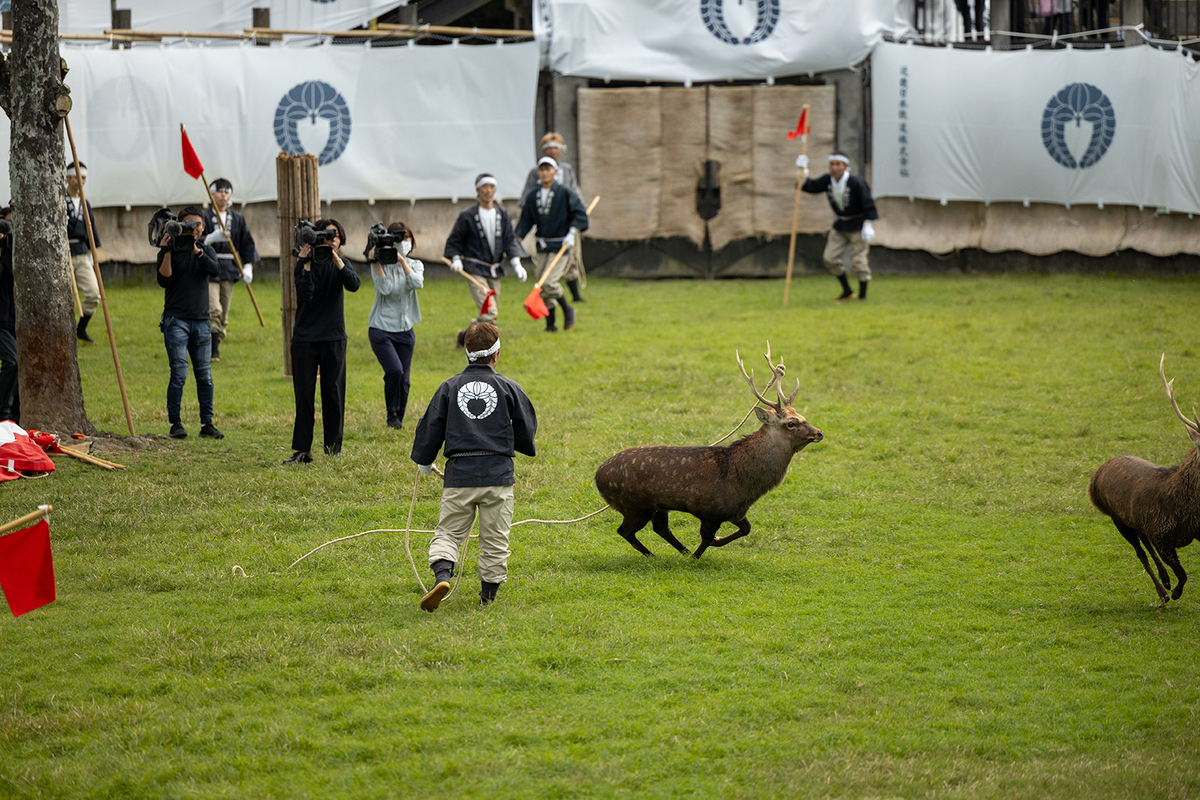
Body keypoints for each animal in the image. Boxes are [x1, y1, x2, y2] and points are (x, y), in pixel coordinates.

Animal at [592, 347, 825, 561]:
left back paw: (680, 551)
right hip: (636, 505)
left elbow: (746, 529)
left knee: (660, 528)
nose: (819, 433)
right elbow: (706, 538)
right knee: (626, 530)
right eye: (791, 423)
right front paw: (698, 554)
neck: (745, 482)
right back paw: (655, 555)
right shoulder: (711, 510)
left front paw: (711, 544)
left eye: (802, 416)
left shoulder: (736, 510)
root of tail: (597, 477)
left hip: (657, 506)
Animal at [1089, 352, 1200, 604]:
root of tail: (1095, 476)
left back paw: (1165, 580)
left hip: (1134, 521)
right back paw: (1163, 592)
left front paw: (1172, 585)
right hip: (1118, 520)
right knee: (1141, 552)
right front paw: (1175, 592)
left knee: (1144, 542)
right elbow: (1183, 574)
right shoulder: (1161, 535)